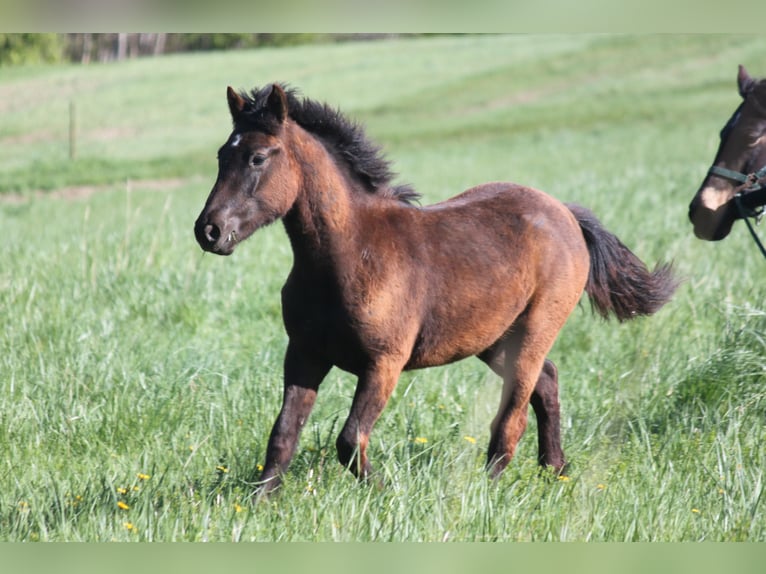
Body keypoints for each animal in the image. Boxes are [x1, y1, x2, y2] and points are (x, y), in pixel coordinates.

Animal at [194, 82, 680, 496]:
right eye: (221, 155)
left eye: (258, 158)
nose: (209, 231)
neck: (348, 255)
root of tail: (564, 211)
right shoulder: (304, 354)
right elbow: (283, 435)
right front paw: (260, 503)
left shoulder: (383, 363)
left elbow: (350, 439)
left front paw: (387, 494)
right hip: (491, 338)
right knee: (547, 382)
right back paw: (554, 469)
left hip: (535, 329)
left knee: (513, 415)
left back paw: (485, 492)